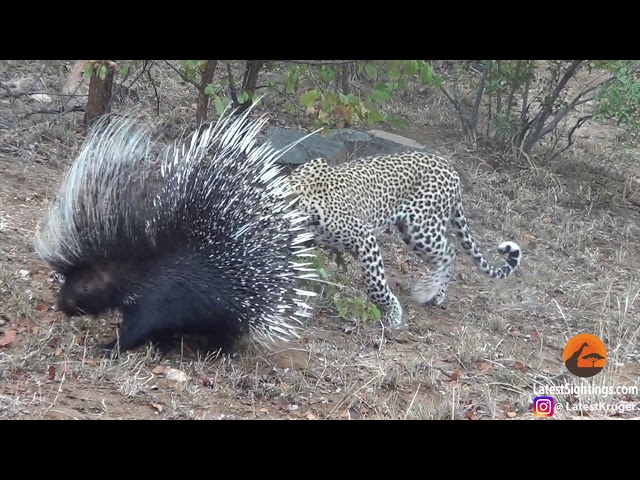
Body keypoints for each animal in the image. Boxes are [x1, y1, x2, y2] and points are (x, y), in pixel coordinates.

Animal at [288, 151, 524, 326]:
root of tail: (451, 170)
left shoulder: (364, 237)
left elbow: (376, 284)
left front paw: (392, 313)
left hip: (421, 229)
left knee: (449, 253)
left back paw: (429, 292)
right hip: (412, 231)